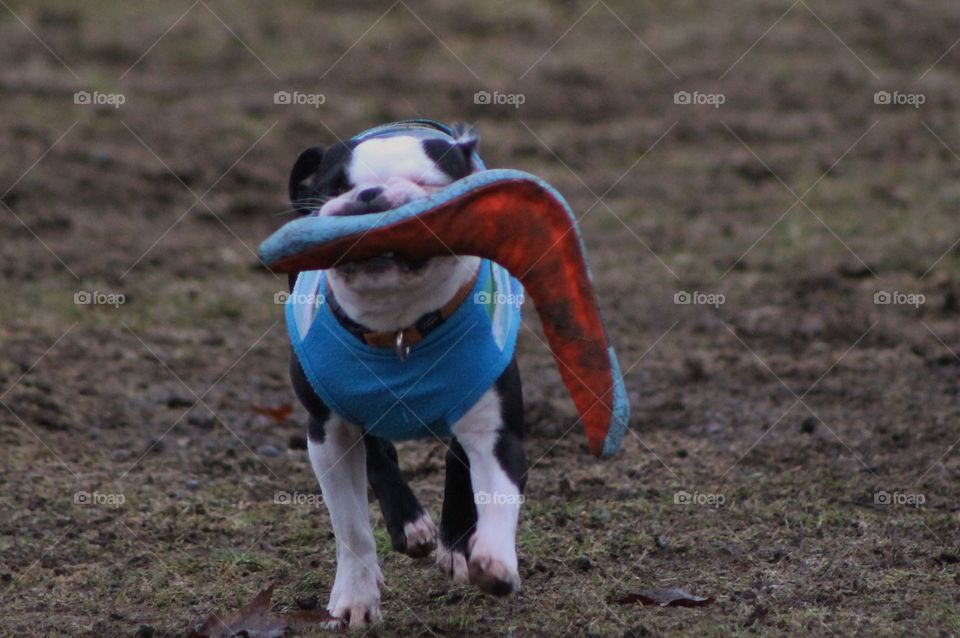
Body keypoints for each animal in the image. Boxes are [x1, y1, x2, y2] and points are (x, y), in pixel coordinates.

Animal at [284, 122, 524, 632]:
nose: (369, 195)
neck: (398, 328)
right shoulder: (327, 430)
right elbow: (351, 524)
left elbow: (496, 488)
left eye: (427, 184)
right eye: (334, 187)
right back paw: (410, 525)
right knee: (378, 453)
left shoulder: (493, 424)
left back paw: (455, 544)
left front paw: (492, 559)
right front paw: (356, 598)